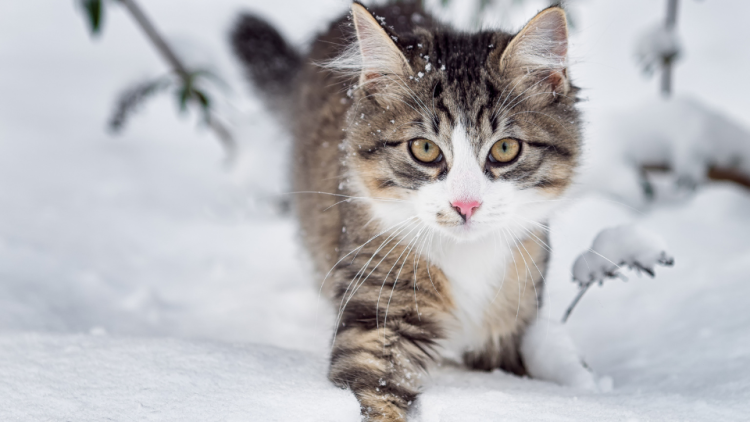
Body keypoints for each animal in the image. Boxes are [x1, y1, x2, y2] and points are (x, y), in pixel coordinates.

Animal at [232, 1, 592, 420]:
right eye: (424, 149)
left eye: (505, 149)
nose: (465, 204)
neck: (468, 257)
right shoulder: (379, 308)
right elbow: (374, 389)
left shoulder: (509, 322)